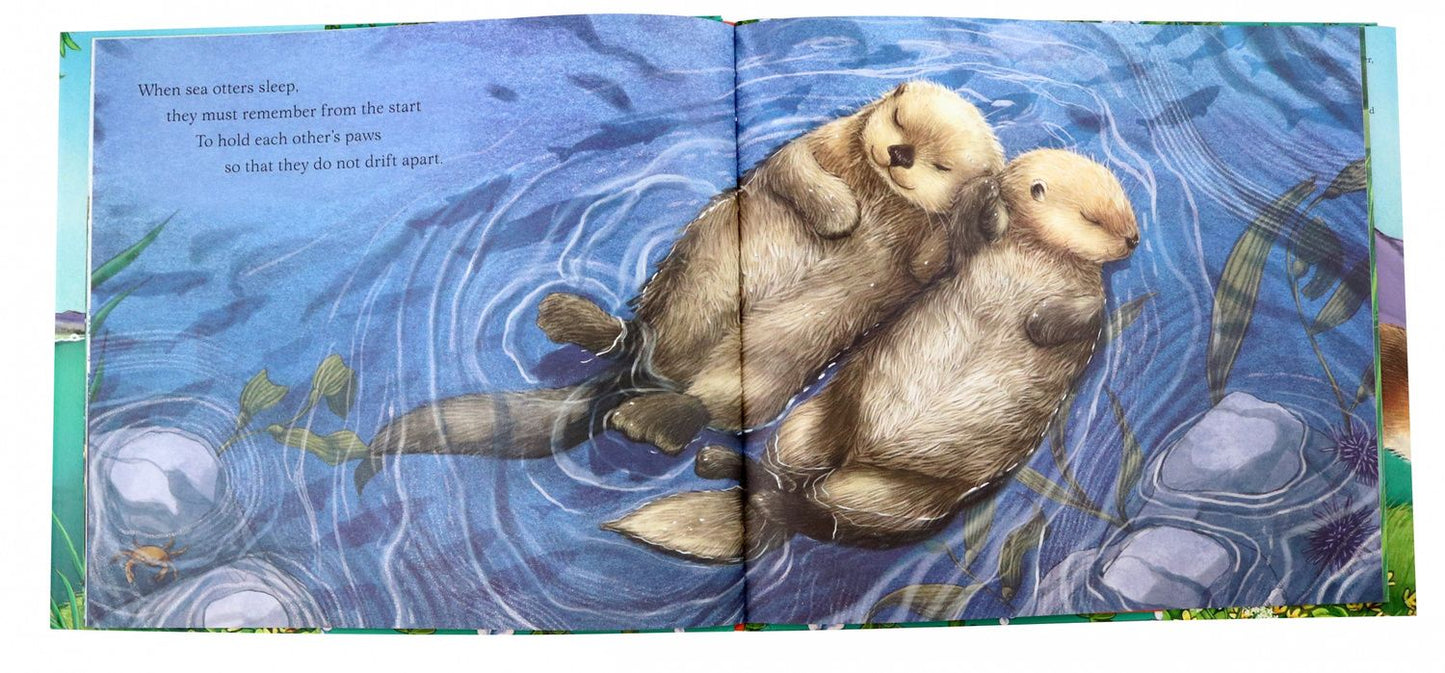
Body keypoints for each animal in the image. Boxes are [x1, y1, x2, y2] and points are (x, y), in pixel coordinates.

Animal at [356, 81, 1007, 491]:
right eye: (898, 123)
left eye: (939, 164)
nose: (898, 154)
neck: (878, 192)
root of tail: (644, 376)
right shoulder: (814, 143)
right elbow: (797, 171)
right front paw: (839, 215)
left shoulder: (925, 249)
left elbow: (931, 261)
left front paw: (984, 208)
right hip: (679, 292)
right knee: (633, 334)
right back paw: (569, 317)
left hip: (761, 377)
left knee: (707, 407)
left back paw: (647, 420)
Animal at [605, 149, 1139, 562]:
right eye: (1094, 217)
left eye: (1124, 210)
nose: (1134, 238)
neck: (1038, 255)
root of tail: (854, 458)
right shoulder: (963, 254)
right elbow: (965, 242)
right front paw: (988, 199)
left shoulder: (1091, 297)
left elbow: (1087, 313)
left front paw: (1038, 321)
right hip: (811, 424)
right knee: (794, 487)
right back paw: (722, 462)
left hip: (902, 496)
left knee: (821, 516)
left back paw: (732, 473)